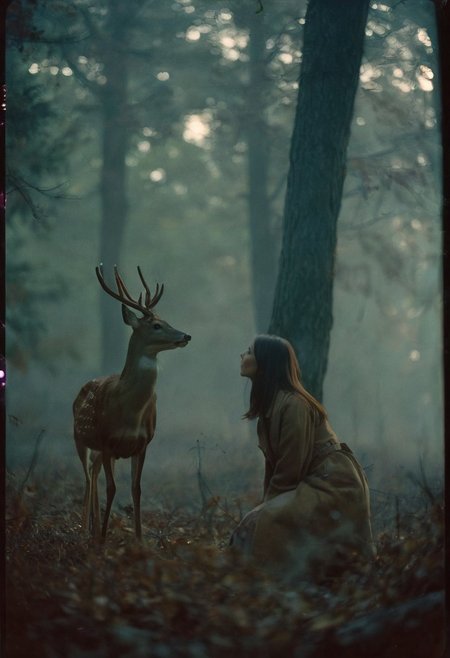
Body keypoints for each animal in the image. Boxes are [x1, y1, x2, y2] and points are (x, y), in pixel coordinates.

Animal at [73, 265, 191, 541]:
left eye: (166, 320)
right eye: (156, 325)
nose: (186, 335)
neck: (129, 411)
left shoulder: (143, 442)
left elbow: (136, 489)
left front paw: (139, 538)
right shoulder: (106, 440)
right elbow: (112, 488)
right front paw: (103, 540)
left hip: (101, 451)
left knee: (93, 473)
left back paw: (94, 526)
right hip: (80, 438)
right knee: (87, 477)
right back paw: (85, 530)